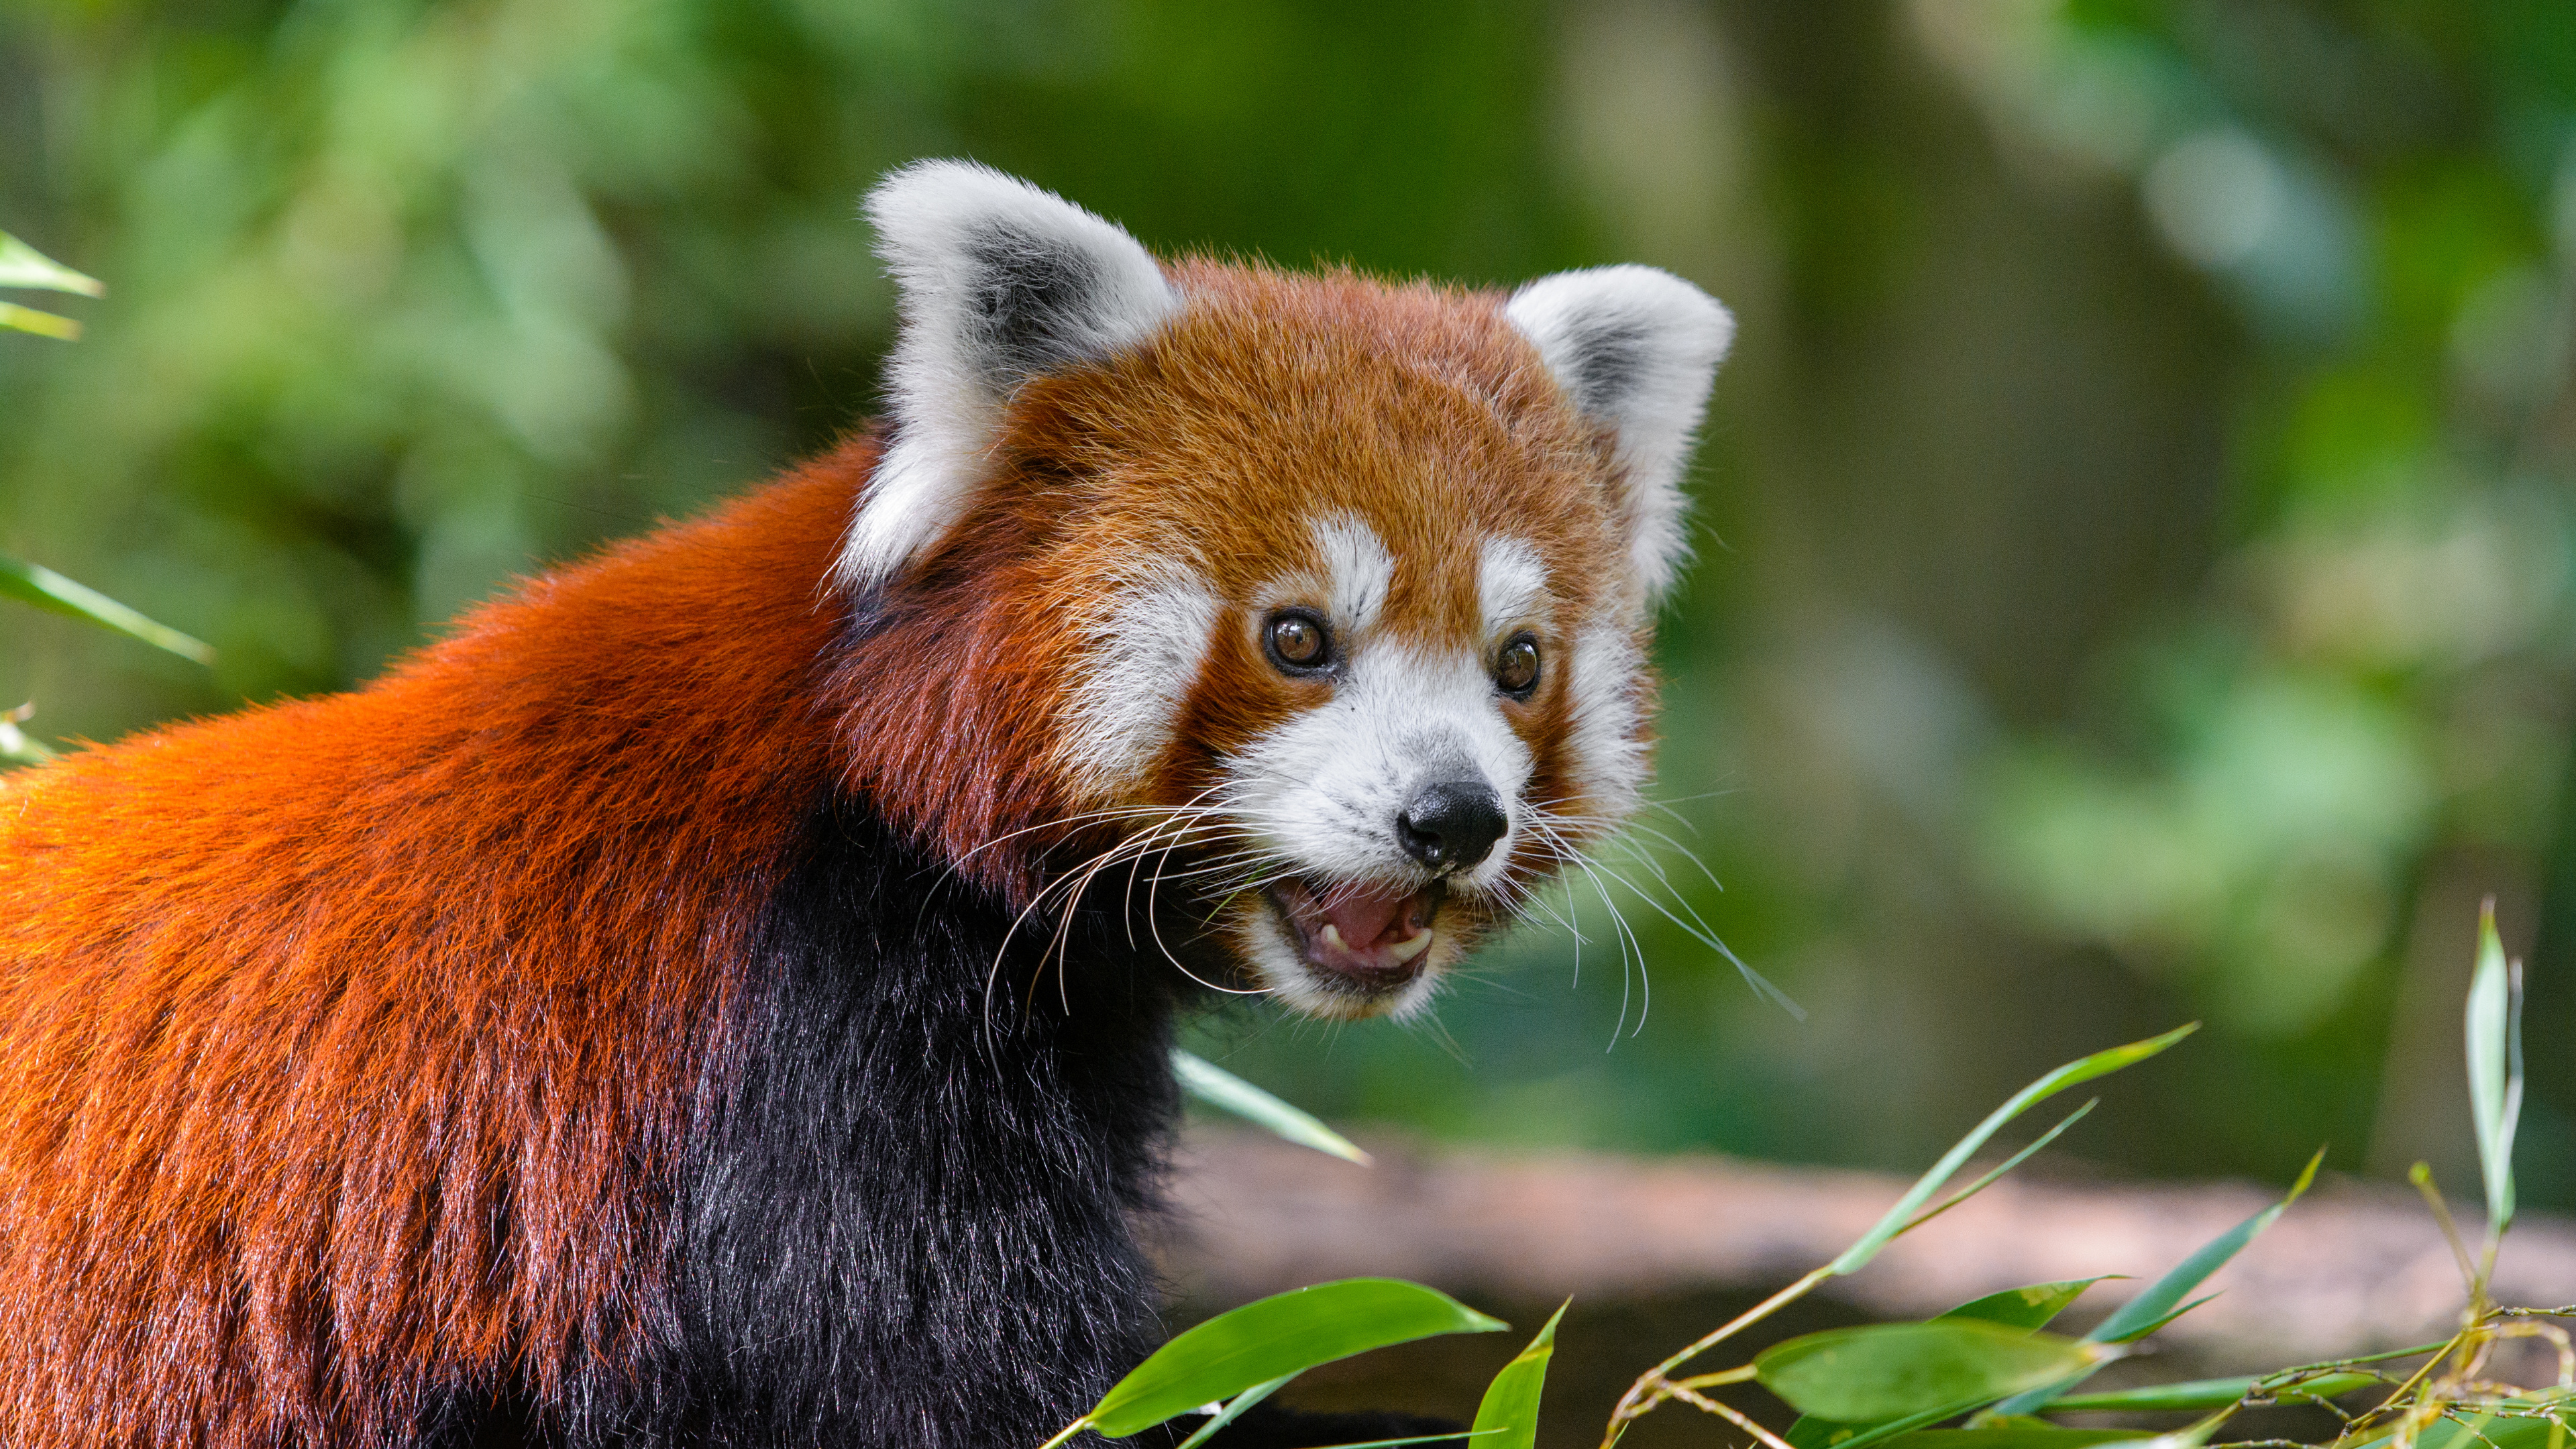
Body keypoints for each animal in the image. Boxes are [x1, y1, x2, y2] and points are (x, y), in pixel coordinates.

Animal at [0, 160, 1741, 1444]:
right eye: (1299, 637)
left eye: (1518, 663)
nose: (1453, 817)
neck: (870, 777)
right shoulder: (800, 1036)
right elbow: (928, 1389)